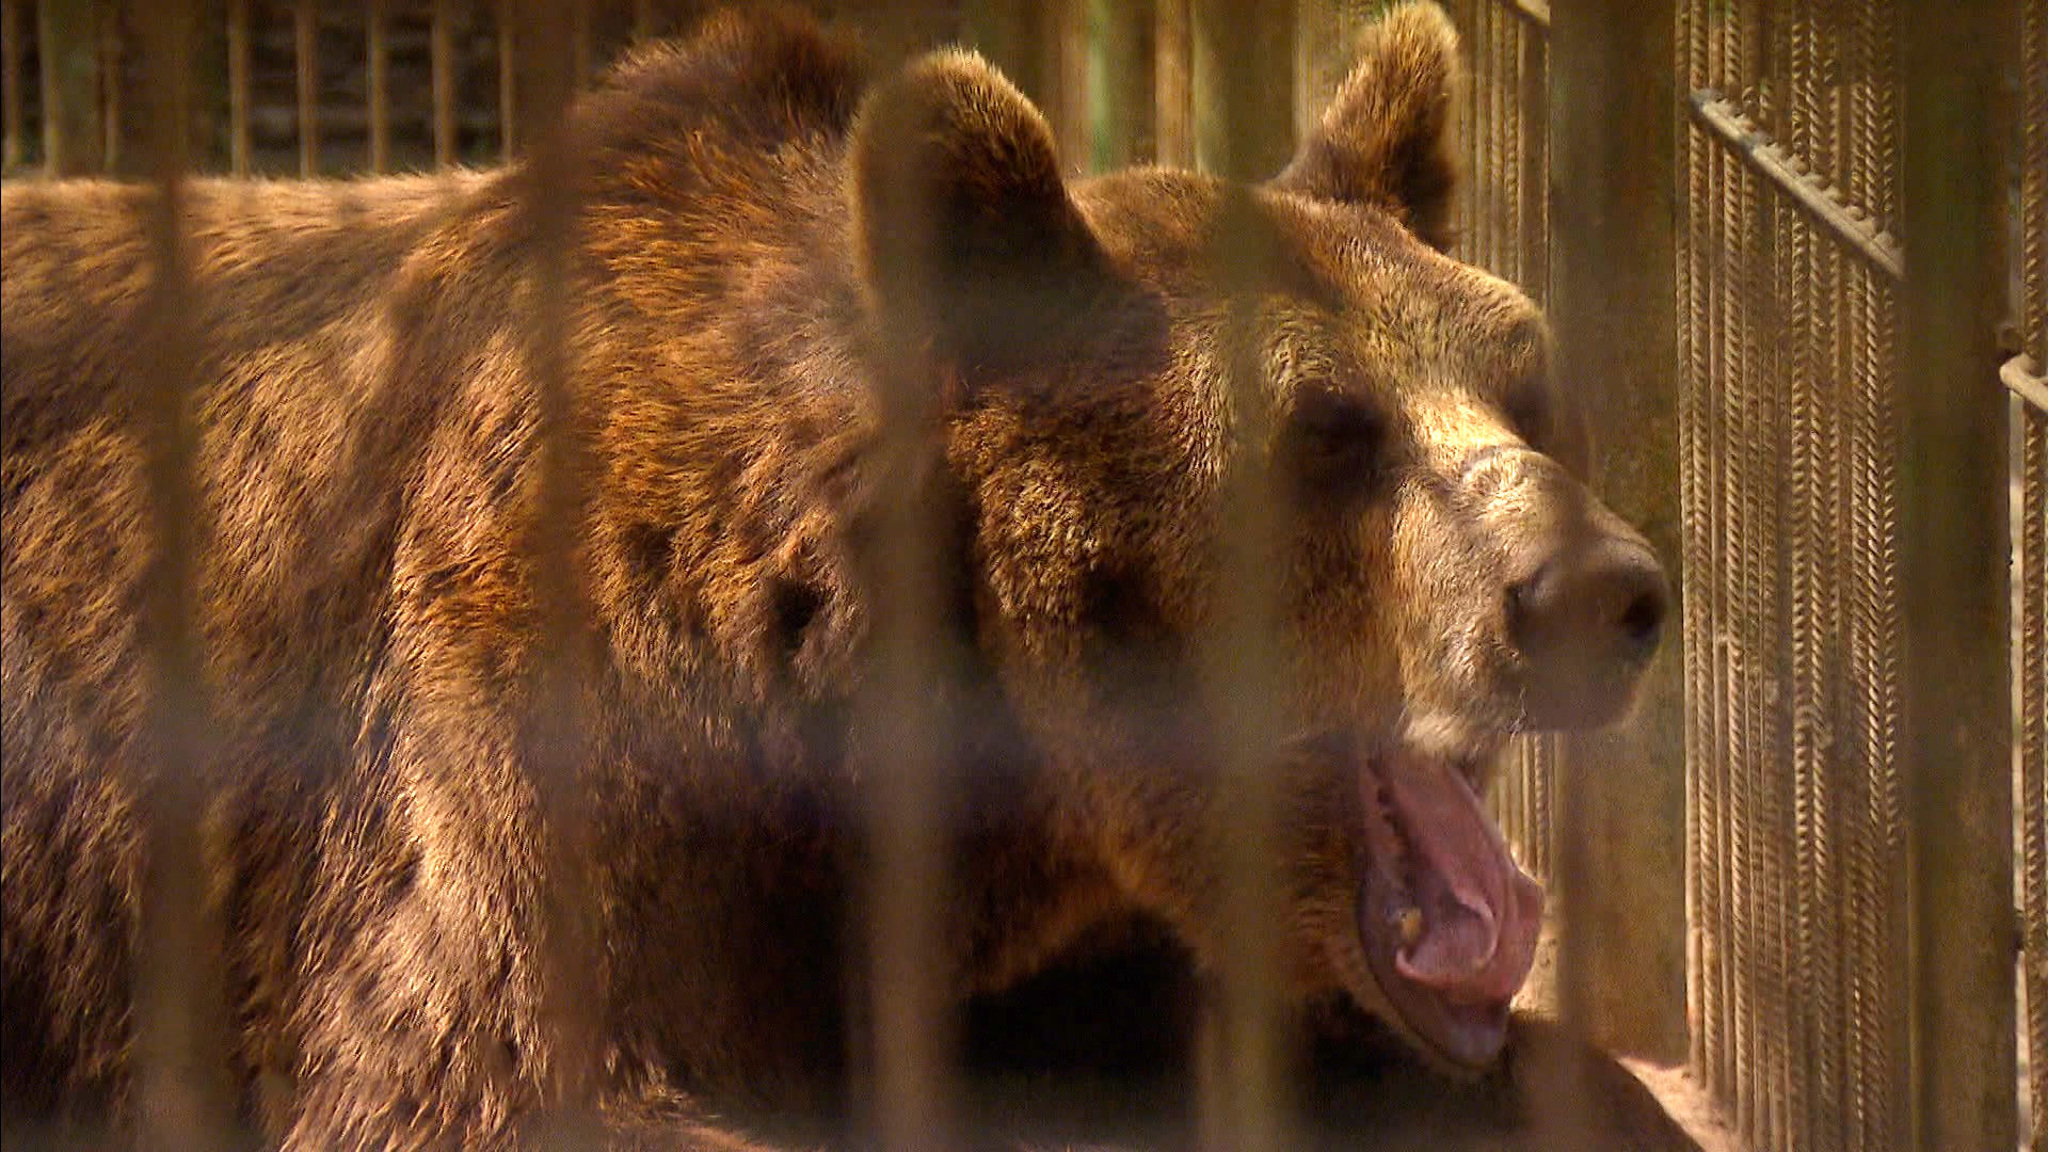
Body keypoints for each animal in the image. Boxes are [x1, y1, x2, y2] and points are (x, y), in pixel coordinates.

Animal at [1, 3, 1675, 1147]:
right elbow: (498, 1081)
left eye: (1522, 383)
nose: (1595, 591)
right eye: (1327, 433)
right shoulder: (519, 772)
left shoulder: (1067, 929)